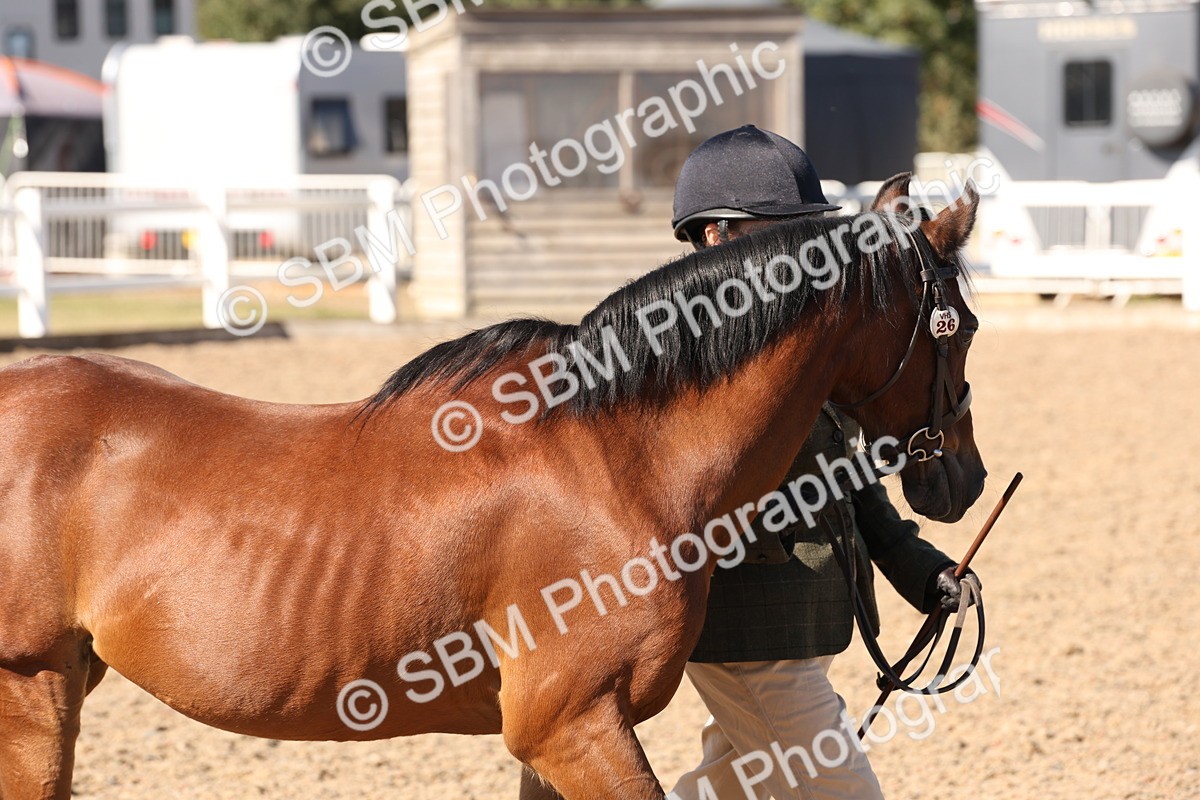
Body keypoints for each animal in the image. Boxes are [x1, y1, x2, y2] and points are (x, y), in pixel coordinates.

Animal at [0, 174, 985, 799]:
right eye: (963, 324)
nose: (964, 478)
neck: (615, 456)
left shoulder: (561, 734)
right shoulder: (572, 725)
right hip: (33, 688)